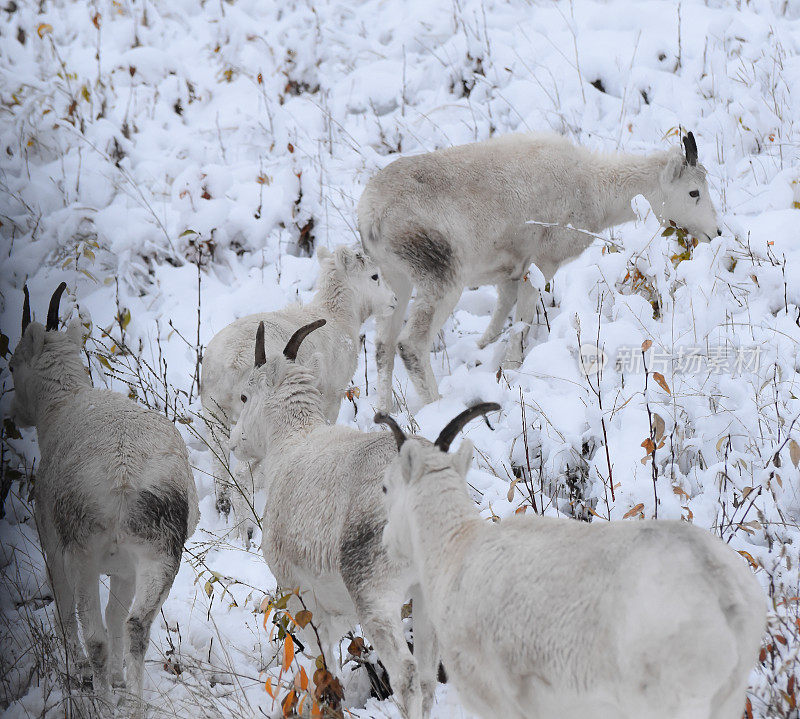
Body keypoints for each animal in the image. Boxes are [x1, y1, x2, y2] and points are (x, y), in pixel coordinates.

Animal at [8, 284, 200, 716]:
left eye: (11, 365)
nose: (16, 415)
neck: (63, 404)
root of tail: (124, 481)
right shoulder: (125, 568)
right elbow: (117, 616)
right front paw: (117, 679)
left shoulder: (52, 542)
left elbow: (67, 609)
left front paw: (81, 671)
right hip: (160, 559)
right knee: (135, 627)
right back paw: (132, 703)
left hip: (83, 555)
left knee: (93, 634)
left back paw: (101, 700)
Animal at [200, 246, 394, 536]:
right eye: (374, 276)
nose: (393, 300)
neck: (338, 317)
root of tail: (231, 361)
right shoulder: (331, 399)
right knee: (243, 478)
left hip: (216, 416)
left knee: (221, 474)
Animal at [225, 322, 438, 719]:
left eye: (245, 396)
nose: (235, 443)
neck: (292, 445)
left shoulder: (303, 601)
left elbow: (327, 669)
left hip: (377, 599)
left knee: (408, 675)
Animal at [360, 131, 720, 410]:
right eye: (693, 192)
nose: (714, 233)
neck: (594, 189)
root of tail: (373, 215)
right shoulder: (541, 264)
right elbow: (521, 323)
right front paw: (509, 371)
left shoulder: (509, 272)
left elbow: (501, 315)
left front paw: (482, 353)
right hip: (443, 281)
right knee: (410, 344)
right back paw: (437, 407)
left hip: (395, 281)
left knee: (383, 345)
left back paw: (385, 411)